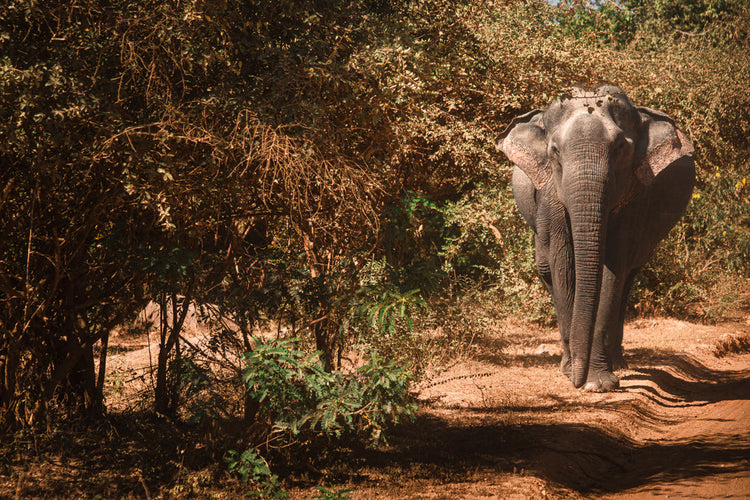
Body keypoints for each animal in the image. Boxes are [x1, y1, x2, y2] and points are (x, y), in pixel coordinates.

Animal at [495, 85, 695, 391]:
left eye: (620, 148)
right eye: (554, 151)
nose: (577, 381)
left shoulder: (634, 194)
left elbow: (612, 268)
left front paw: (599, 383)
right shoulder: (550, 193)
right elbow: (563, 263)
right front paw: (575, 375)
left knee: (628, 275)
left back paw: (618, 364)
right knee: (546, 268)